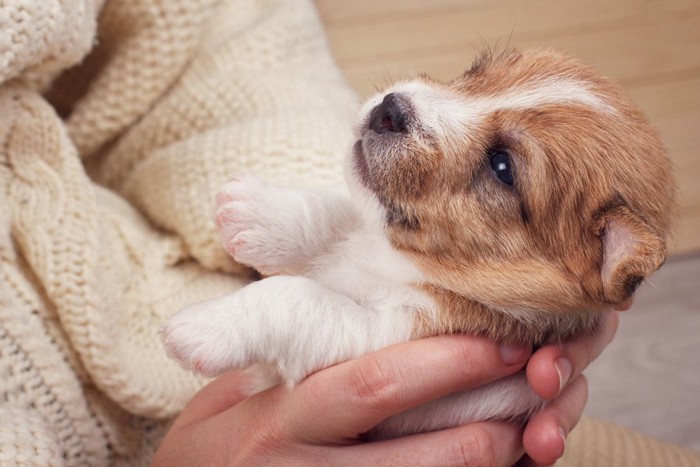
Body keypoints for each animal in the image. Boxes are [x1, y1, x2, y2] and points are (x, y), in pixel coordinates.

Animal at [161, 49, 676, 440]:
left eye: (503, 167)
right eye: (474, 71)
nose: (390, 108)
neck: (403, 262)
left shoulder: (384, 335)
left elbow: (295, 297)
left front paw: (203, 327)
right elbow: (333, 212)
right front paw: (255, 208)